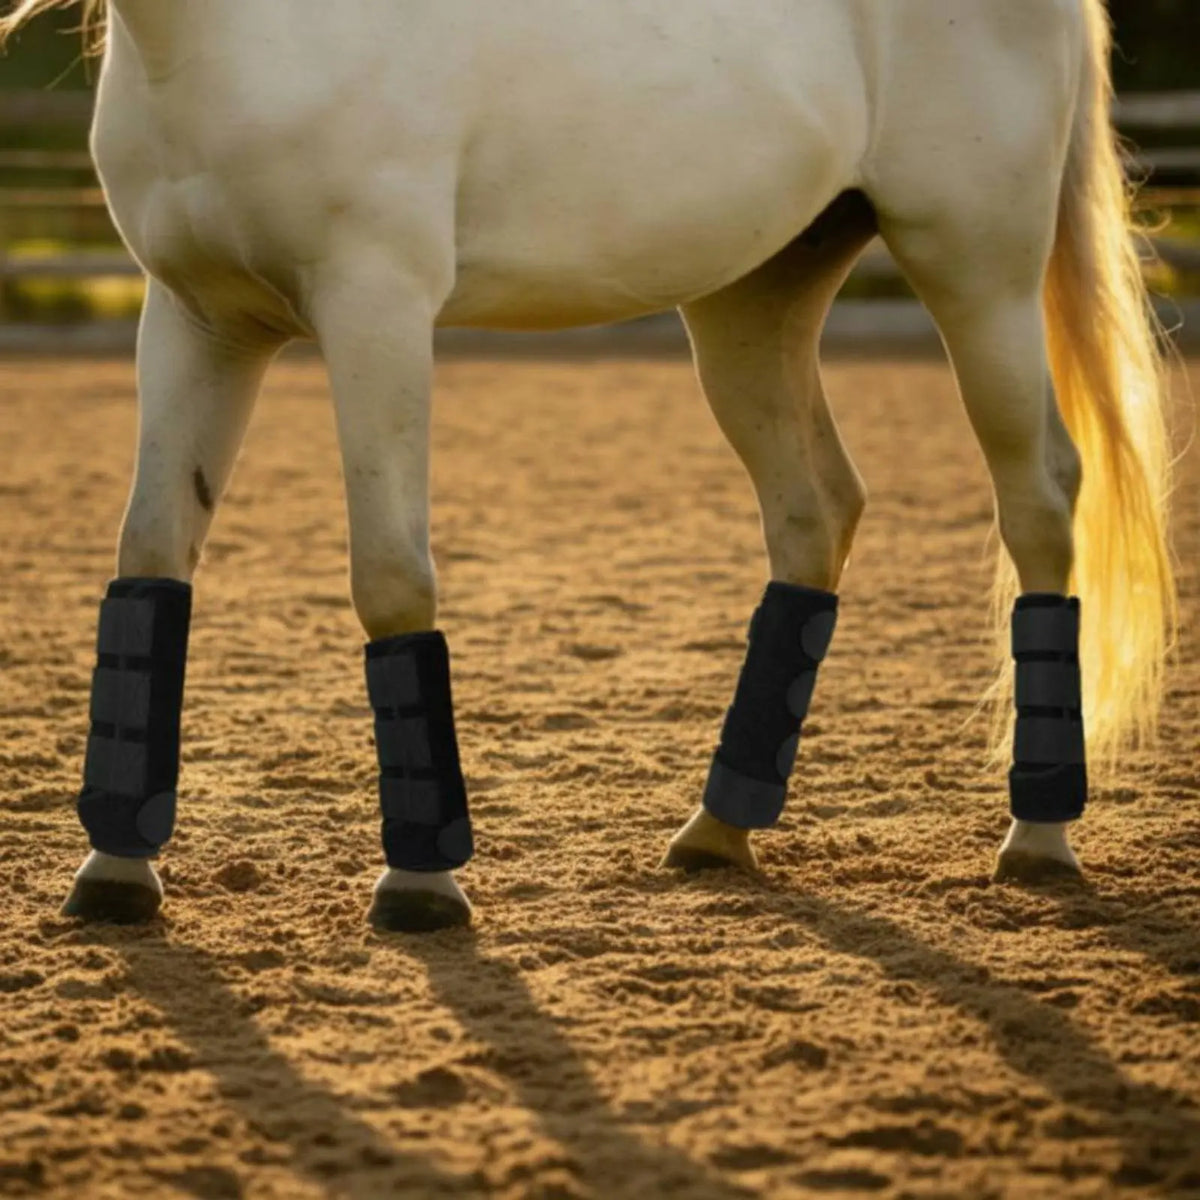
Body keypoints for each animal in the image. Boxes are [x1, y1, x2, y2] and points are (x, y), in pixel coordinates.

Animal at [0, 0, 1176, 932]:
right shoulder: (196, 323)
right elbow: (151, 556)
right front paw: (116, 868)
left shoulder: (376, 308)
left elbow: (391, 580)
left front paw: (421, 886)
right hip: (754, 300)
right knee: (815, 508)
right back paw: (718, 829)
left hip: (977, 271)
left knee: (1039, 501)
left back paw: (1038, 840)